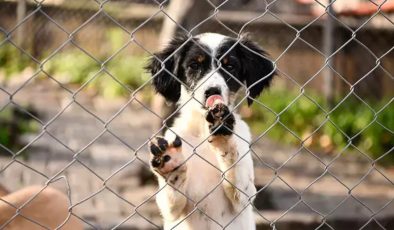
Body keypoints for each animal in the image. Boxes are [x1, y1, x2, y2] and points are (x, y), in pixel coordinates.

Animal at [146, 32, 276, 230]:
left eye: (229, 66)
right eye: (194, 65)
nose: (212, 91)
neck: (201, 131)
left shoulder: (245, 196)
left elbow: (234, 164)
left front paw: (222, 134)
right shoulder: (170, 211)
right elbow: (171, 196)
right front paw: (170, 164)